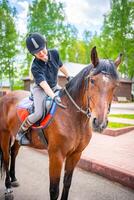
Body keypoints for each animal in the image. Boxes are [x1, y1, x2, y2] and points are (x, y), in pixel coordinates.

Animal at [0, 46, 121, 198]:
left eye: (115, 85)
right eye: (92, 80)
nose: (99, 123)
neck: (73, 117)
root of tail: (6, 96)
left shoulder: (75, 155)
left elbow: (67, 184)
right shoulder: (56, 156)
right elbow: (54, 189)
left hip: (16, 136)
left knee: (13, 152)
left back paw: (14, 179)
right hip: (4, 134)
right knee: (6, 158)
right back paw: (8, 188)